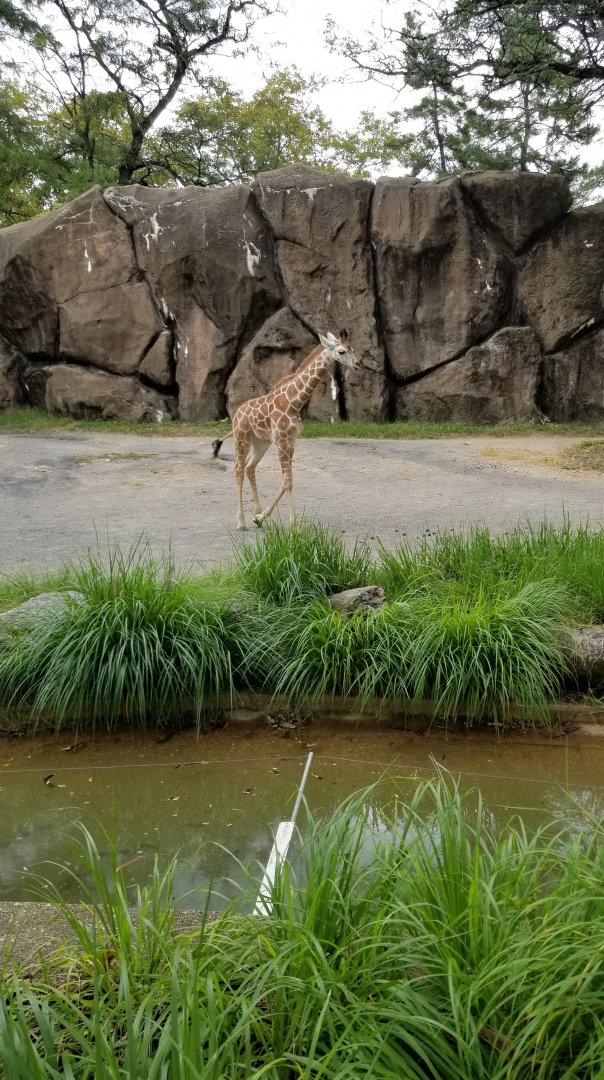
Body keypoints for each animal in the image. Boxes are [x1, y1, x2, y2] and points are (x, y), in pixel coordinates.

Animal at [212, 330, 359, 529]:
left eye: (352, 348)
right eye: (342, 351)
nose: (357, 364)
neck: (294, 401)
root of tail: (237, 414)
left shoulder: (291, 441)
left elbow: (286, 480)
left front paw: (260, 518)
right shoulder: (282, 440)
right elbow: (288, 481)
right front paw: (293, 524)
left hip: (261, 442)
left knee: (250, 467)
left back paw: (256, 511)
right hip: (241, 438)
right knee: (239, 470)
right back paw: (240, 522)